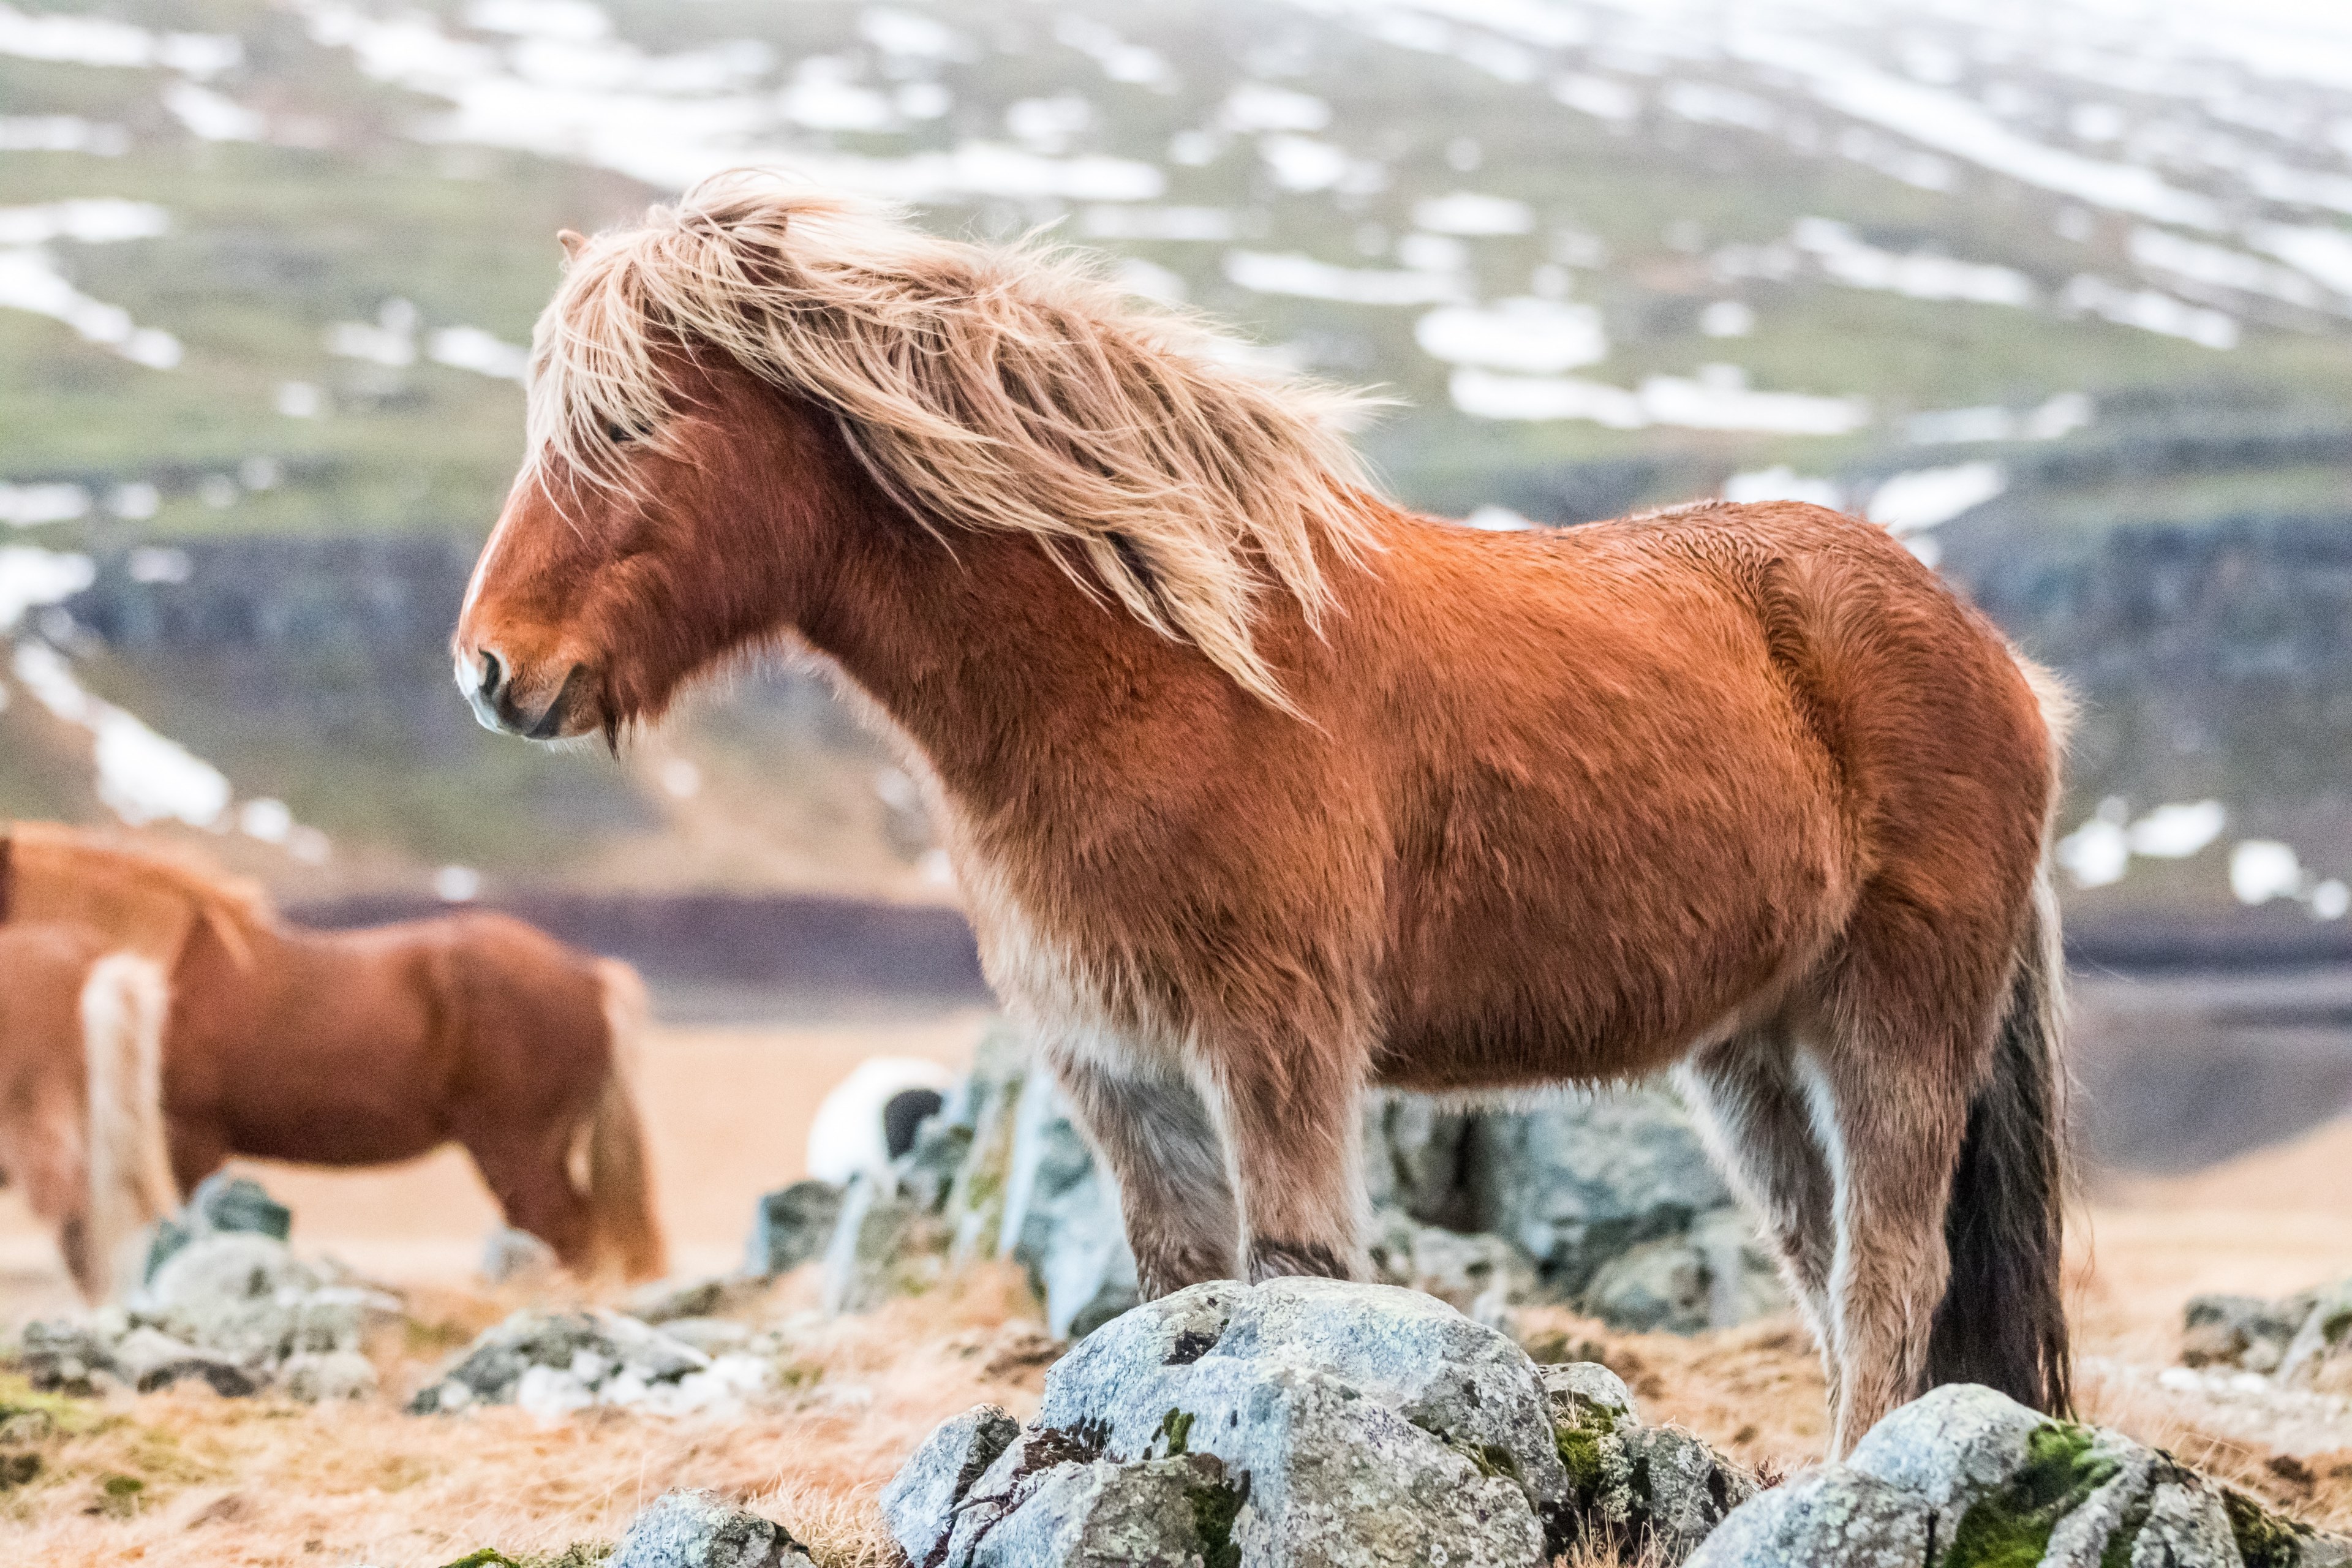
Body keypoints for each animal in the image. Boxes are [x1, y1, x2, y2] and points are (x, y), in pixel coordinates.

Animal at [450, 174, 2071, 1453]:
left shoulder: (1274, 1037)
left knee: (1887, 1266)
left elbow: (1291, 1272)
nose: (490, 669)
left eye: (635, 423)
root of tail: (1994, 656)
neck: (1153, 670)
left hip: (1894, 1019)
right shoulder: (1115, 1064)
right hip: (1750, 1047)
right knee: (1817, 1257)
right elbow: (1181, 1281)